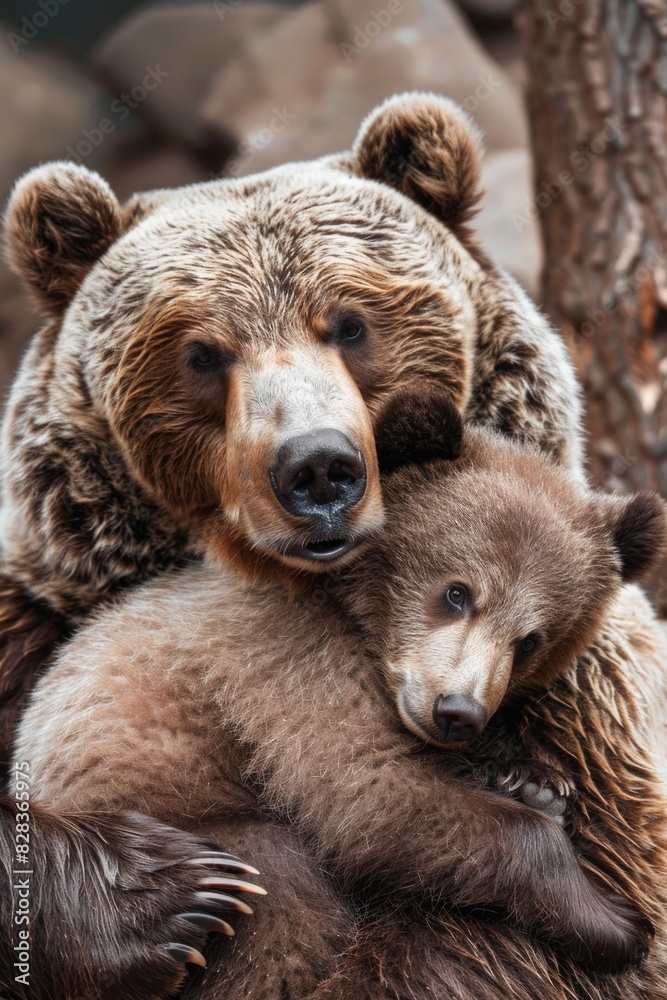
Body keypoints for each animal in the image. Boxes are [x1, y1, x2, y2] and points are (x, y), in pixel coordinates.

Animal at [11, 384, 667, 1000]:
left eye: (531, 639)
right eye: (457, 592)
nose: (457, 713)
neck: (357, 615)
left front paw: (531, 781)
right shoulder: (286, 657)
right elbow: (367, 791)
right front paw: (615, 920)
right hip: (164, 810)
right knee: (276, 892)